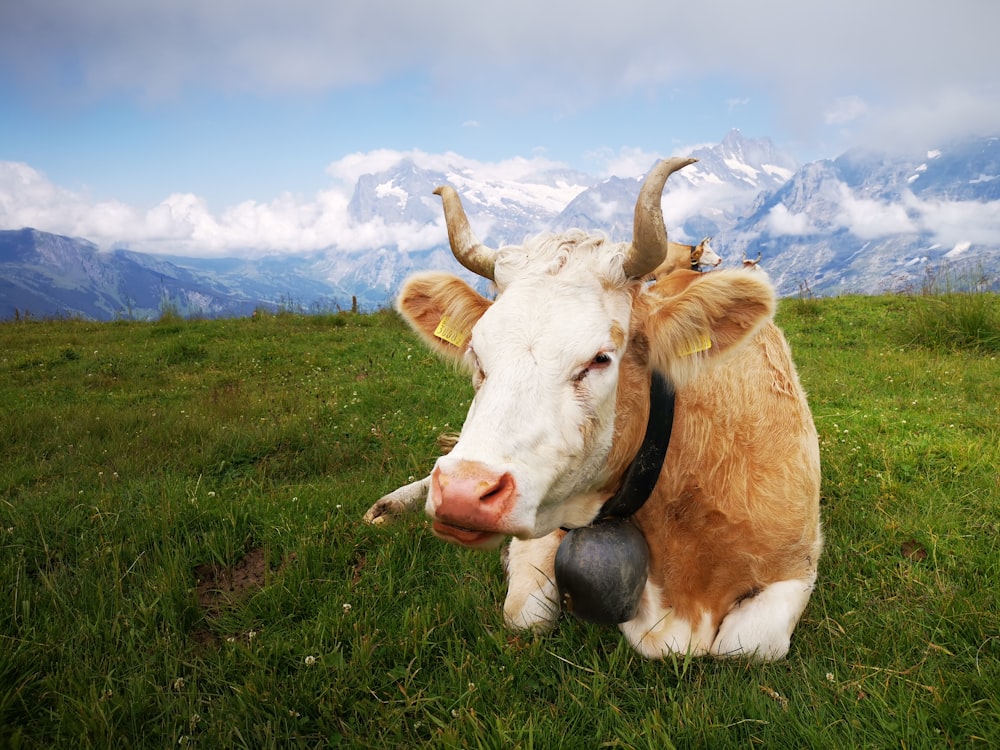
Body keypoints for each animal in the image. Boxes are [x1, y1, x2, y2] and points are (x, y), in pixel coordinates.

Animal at [368, 156, 820, 660]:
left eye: (600, 358)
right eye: (477, 355)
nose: (465, 494)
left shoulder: (797, 564)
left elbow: (747, 644)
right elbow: (524, 614)